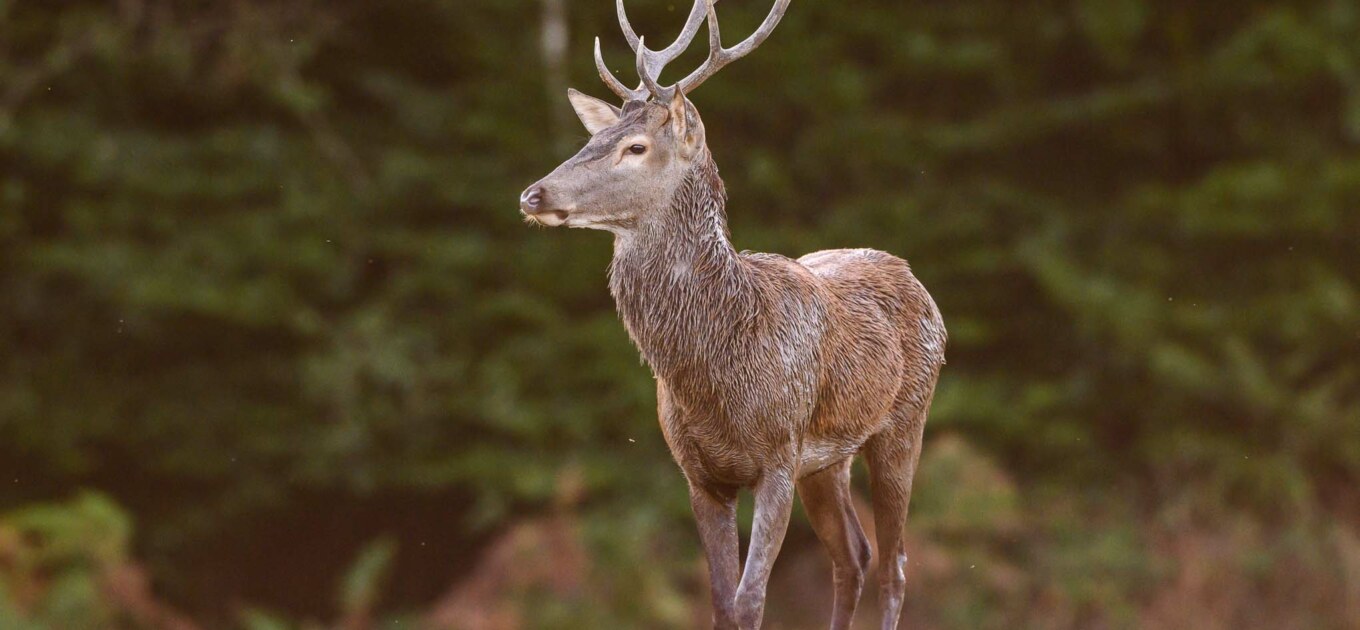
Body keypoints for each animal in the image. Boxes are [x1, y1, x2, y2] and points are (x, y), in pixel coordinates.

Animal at [516, 2, 946, 628]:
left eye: (636, 147)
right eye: (593, 138)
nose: (534, 195)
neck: (717, 368)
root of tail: (915, 278)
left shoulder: (778, 457)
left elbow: (749, 601)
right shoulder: (700, 475)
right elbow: (721, 604)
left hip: (904, 422)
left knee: (894, 567)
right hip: (826, 463)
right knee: (854, 556)